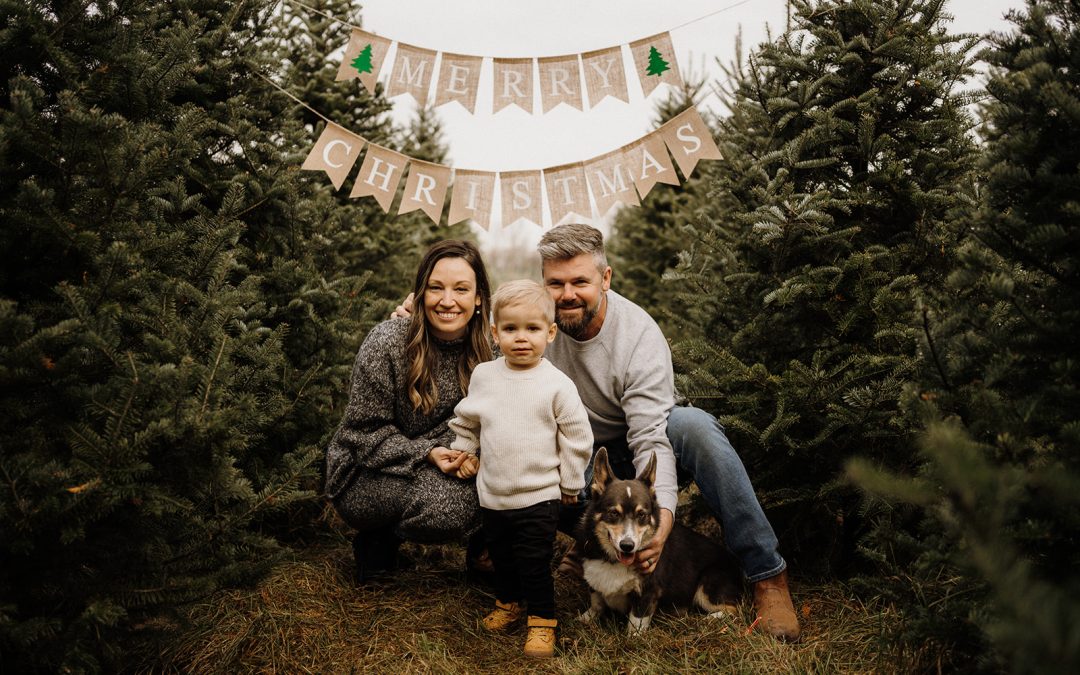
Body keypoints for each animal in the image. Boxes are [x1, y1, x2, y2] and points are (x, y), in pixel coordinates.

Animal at [574, 447, 743, 630]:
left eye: (642, 515)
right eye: (613, 513)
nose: (627, 545)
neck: (612, 560)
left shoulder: (648, 591)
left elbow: (636, 621)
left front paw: (633, 636)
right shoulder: (594, 582)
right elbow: (596, 602)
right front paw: (586, 619)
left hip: (706, 585)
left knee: (734, 610)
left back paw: (709, 619)